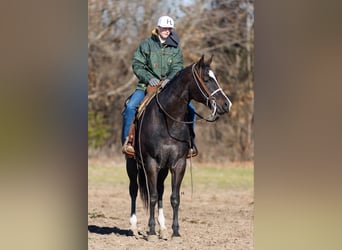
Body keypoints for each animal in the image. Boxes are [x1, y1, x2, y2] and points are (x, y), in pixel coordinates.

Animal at [125, 54, 232, 240]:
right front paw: (151, 231)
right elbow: (152, 196)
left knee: (160, 190)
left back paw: (163, 228)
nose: (226, 104)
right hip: (132, 163)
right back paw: (134, 226)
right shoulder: (150, 163)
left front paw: (174, 231)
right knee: (134, 190)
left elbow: (174, 198)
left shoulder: (178, 163)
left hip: (162, 169)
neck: (168, 119)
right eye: (206, 79)